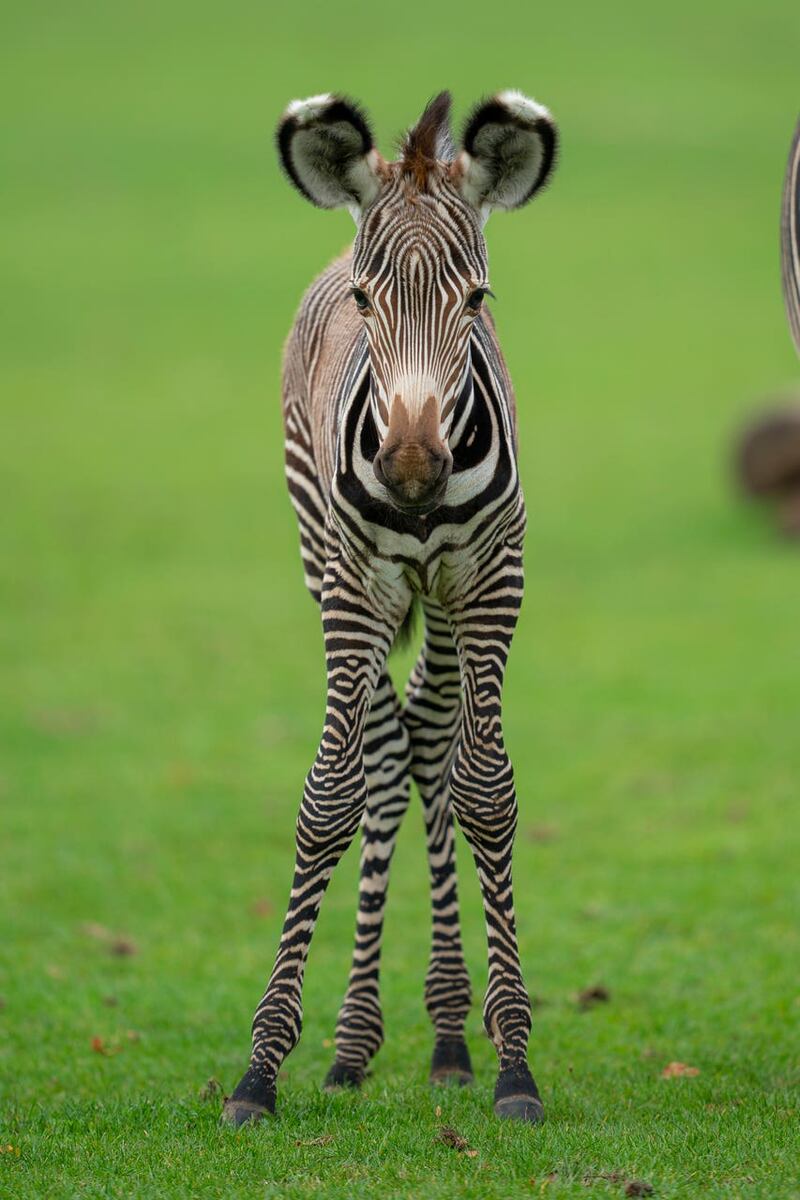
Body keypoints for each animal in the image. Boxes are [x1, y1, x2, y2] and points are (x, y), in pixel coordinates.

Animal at [221, 88, 561, 1128]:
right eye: (370, 303)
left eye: (477, 302)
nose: (411, 468)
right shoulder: (352, 585)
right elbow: (329, 798)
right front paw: (261, 1069)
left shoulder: (492, 582)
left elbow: (484, 789)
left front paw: (513, 1062)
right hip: (326, 565)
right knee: (380, 754)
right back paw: (351, 1044)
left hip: (443, 608)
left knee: (427, 740)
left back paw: (449, 1035)